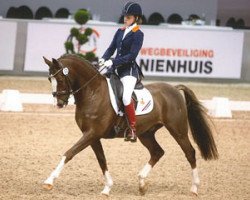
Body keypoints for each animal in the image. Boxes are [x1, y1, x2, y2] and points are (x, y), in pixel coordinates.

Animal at [42, 54, 217, 195]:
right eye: (50, 79)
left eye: (60, 79)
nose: (59, 103)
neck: (93, 93)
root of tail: (174, 88)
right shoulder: (92, 136)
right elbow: (101, 159)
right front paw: (107, 188)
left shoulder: (92, 133)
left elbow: (69, 153)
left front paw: (49, 181)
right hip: (146, 133)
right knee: (157, 152)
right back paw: (142, 183)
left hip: (177, 129)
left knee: (190, 153)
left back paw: (194, 188)